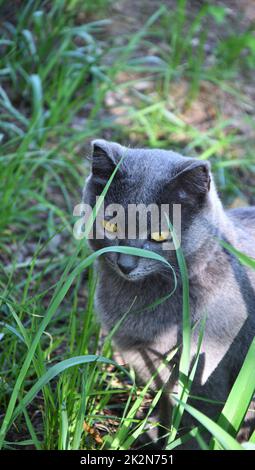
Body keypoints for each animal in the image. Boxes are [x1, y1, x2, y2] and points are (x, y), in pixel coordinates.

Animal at [82, 140, 255, 448]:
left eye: (161, 236)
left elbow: (200, 426)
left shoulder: (206, 376)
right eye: (112, 225)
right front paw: (154, 434)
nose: (126, 264)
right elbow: (165, 405)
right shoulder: (146, 362)